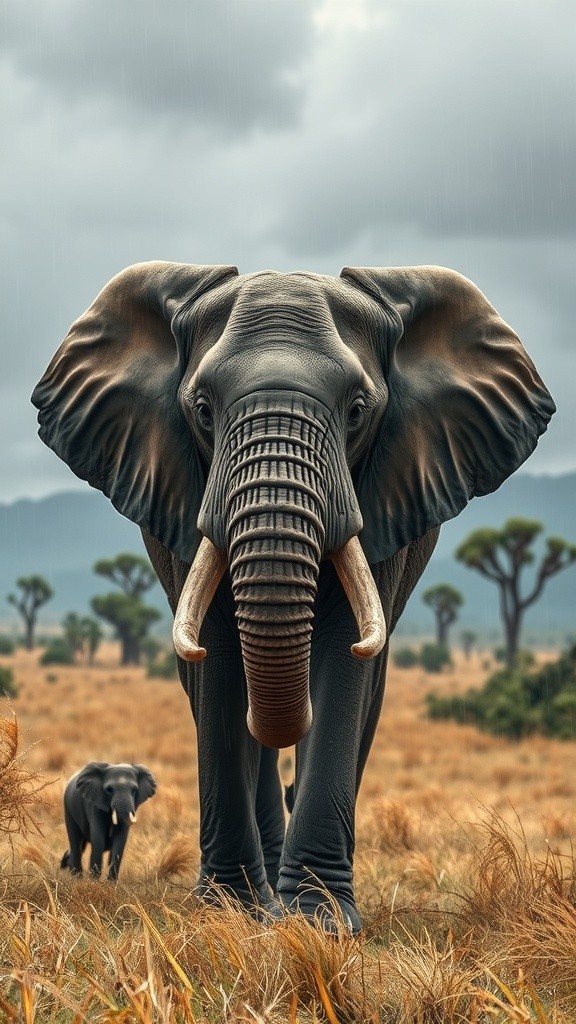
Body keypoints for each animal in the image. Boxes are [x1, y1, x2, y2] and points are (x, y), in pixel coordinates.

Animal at [33, 261, 554, 930]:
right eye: (203, 409)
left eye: (357, 410)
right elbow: (218, 664)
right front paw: (228, 911)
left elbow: (343, 661)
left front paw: (317, 920)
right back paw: (260, 900)